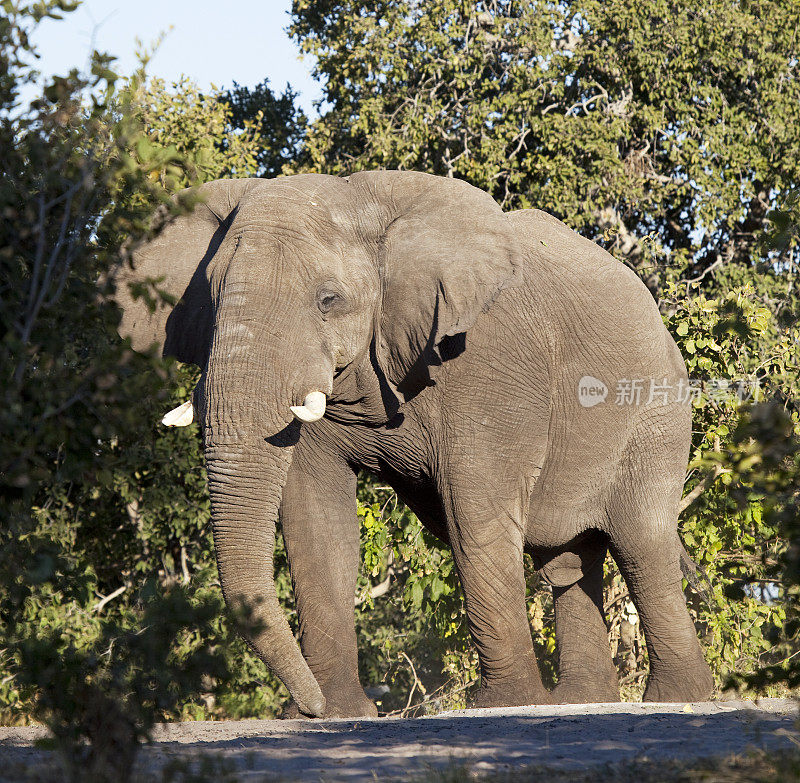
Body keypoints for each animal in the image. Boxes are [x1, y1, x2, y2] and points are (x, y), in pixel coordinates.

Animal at [112, 173, 712, 724]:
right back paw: (579, 700)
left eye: (329, 300)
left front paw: (503, 705)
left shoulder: (488, 360)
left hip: (656, 416)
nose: (304, 707)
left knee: (642, 544)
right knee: (567, 560)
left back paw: (675, 698)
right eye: (211, 302)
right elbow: (315, 520)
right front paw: (341, 715)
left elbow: (475, 512)